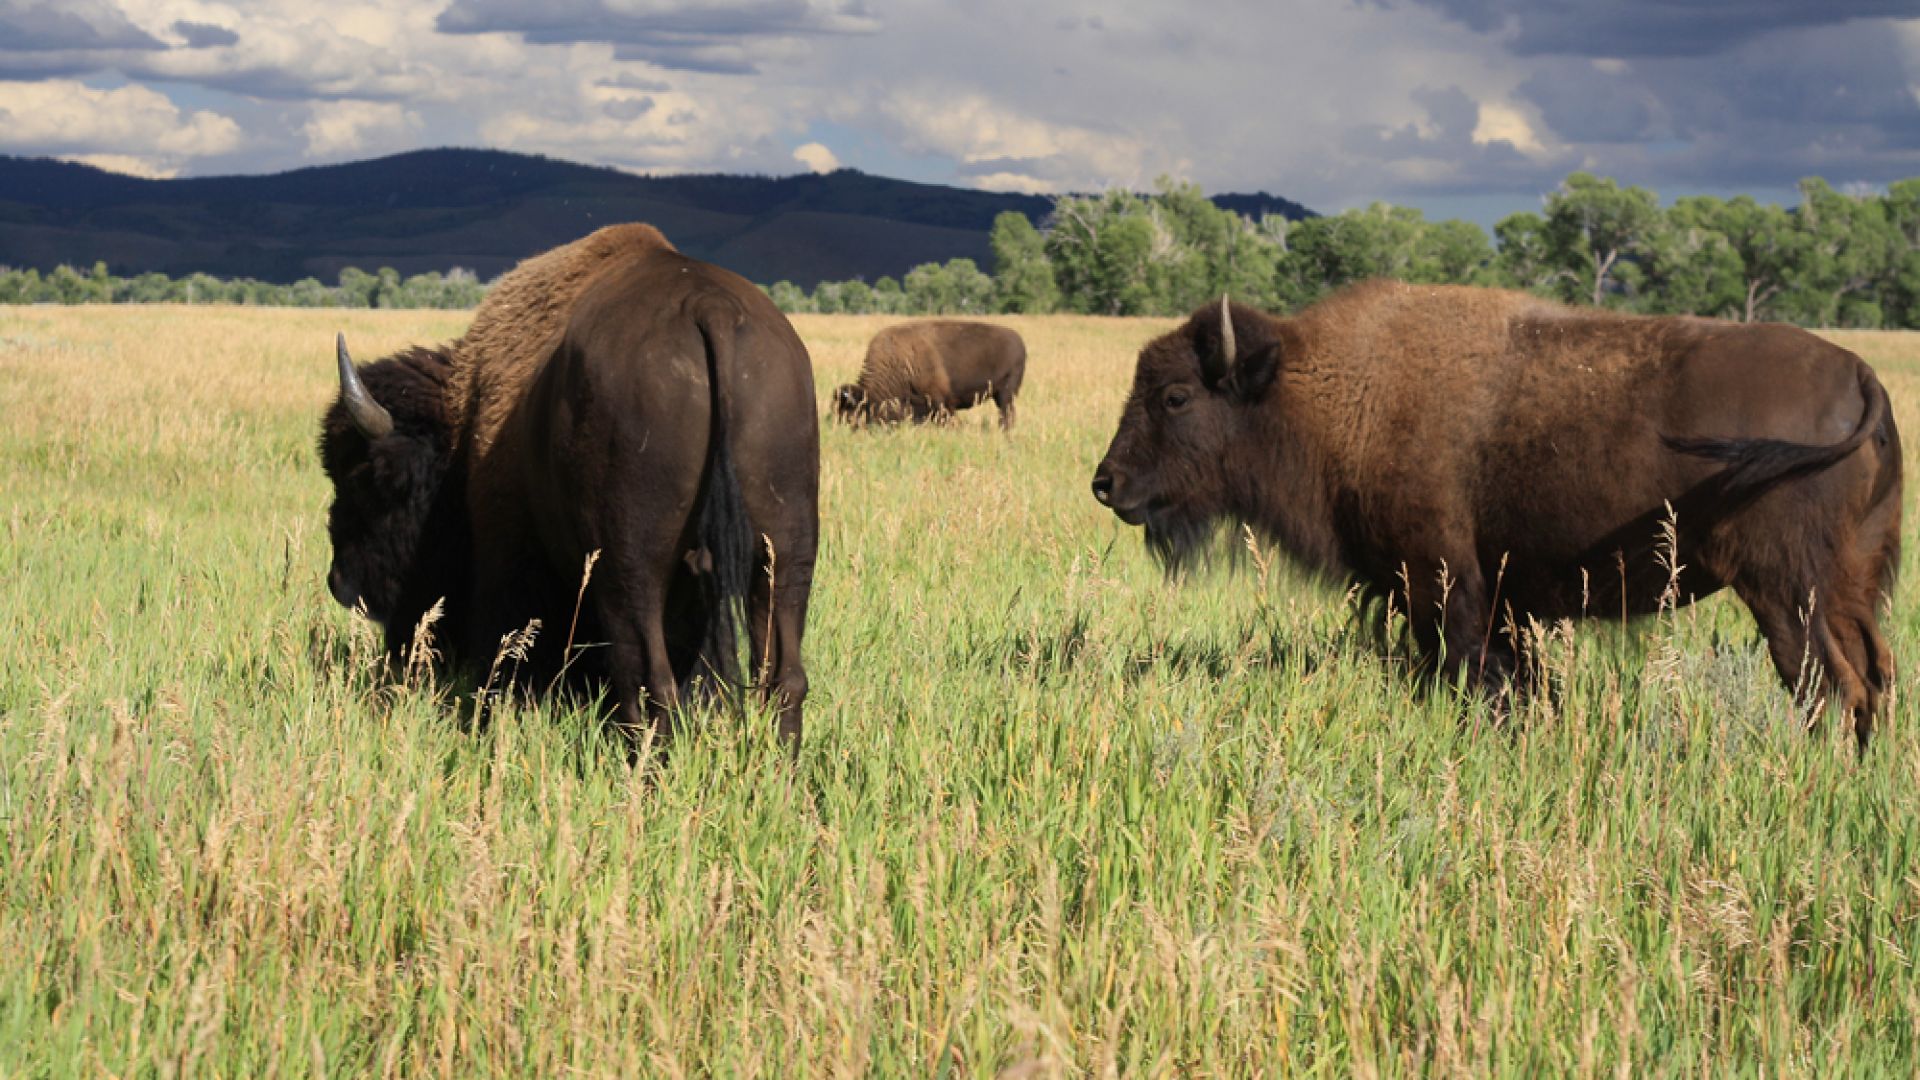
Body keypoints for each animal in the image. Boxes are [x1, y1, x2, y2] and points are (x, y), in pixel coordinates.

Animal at [322, 222, 817, 745]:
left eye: (363, 482)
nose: (340, 583)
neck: (465, 426)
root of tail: (709, 307)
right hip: (785, 554)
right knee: (783, 675)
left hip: (629, 569)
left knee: (647, 676)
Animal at [1090, 282, 1896, 745]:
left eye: (1175, 396)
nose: (1106, 483)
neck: (1331, 389)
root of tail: (1861, 375)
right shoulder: (1496, 599)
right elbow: (1523, 683)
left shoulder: (1445, 584)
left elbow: (1477, 674)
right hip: (1851, 588)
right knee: (1871, 682)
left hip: (1784, 592)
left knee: (1830, 688)